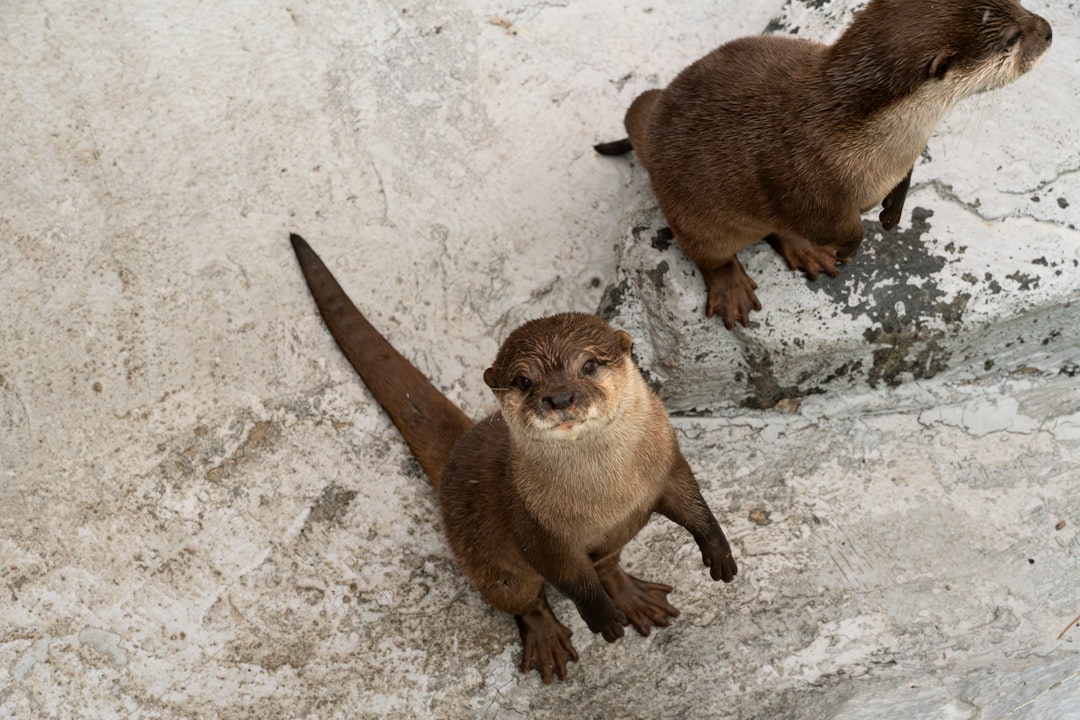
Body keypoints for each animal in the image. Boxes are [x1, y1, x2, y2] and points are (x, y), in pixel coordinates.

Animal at [290, 233, 737, 683]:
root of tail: (459, 450)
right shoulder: (537, 526)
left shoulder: (668, 464)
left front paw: (720, 554)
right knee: (526, 599)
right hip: (487, 563)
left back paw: (635, 598)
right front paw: (603, 619)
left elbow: (694, 505)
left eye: (589, 364)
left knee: (608, 565)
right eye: (524, 380)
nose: (560, 397)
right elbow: (572, 579)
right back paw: (549, 638)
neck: (610, 493)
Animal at [595, 0, 1053, 330]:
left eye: (1017, 1)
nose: (1048, 29)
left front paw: (892, 212)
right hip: (692, 215)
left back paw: (807, 251)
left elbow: (903, 179)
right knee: (712, 256)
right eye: (1012, 38)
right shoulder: (804, 178)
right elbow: (838, 225)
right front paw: (848, 245)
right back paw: (733, 289)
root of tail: (653, 126)